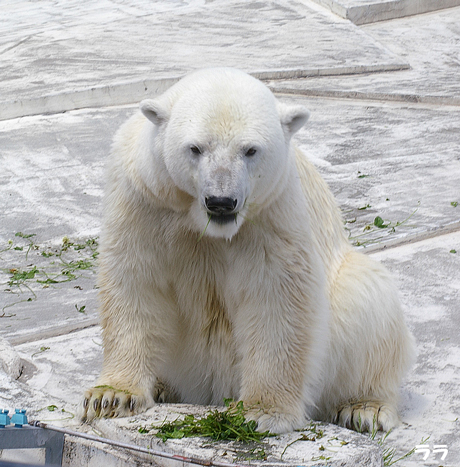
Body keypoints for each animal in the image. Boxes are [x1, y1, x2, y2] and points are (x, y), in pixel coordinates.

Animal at [81, 67, 416, 434]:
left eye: (250, 150)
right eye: (195, 148)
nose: (221, 201)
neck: (206, 224)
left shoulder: (273, 212)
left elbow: (277, 298)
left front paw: (259, 412)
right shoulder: (144, 199)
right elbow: (135, 281)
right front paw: (112, 397)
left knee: (368, 299)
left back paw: (364, 408)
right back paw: (162, 385)